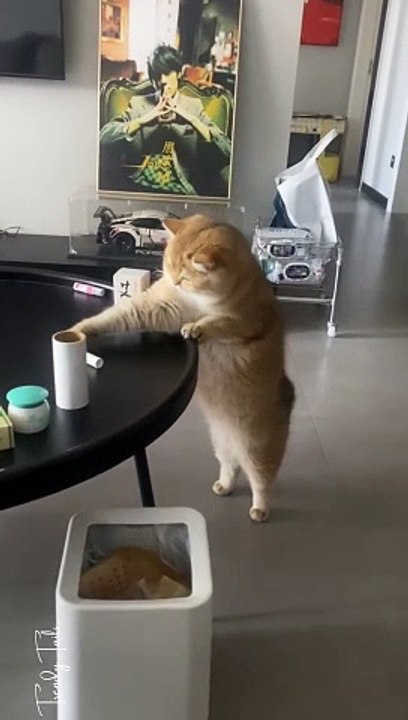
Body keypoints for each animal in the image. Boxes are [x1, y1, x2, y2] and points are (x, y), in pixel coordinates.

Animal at [71, 215, 295, 522]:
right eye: (168, 265)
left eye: (186, 276)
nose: (175, 282)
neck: (202, 300)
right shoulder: (163, 305)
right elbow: (114, 317)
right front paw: (79, 330)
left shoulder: (247, 324)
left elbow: (218, 322)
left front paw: (197, 327)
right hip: (222, 444)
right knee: (230, 467)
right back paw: (223, 486)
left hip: (257, 450)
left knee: (261, 481)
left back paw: (259, 509)